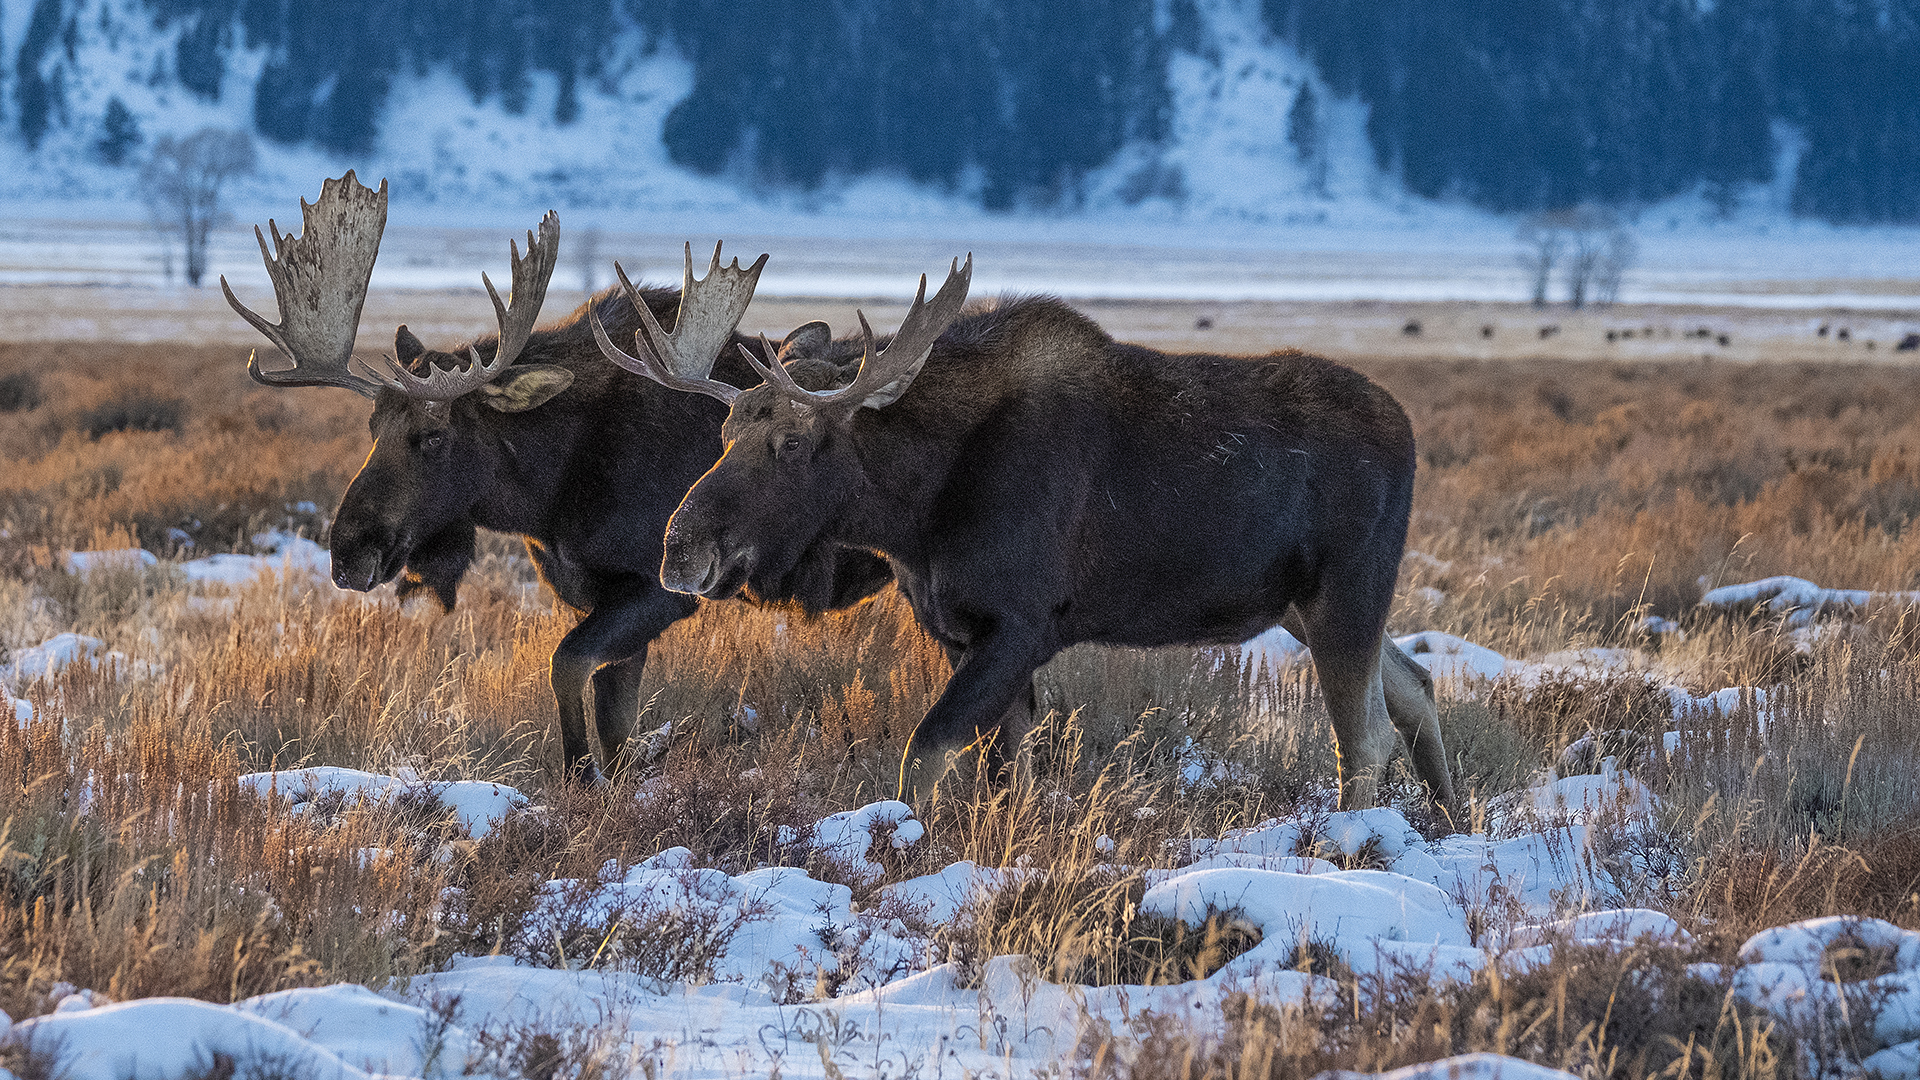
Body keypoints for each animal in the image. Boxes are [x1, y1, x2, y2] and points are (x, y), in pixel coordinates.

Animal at [219, 174, 890, 780]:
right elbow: (616, 724)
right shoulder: (602, 594)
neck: (550, 496)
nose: (348, 551)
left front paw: (578, 774)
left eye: (433, 436)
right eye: (372, 426)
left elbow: (565, 667)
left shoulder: (662, 585)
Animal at [599, 259, 1451, 814]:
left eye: (797, 443)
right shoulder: (958, 629)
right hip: (1303, 607)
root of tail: (1409, 434)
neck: (916, 513)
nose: (680, 548)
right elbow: (1002, 776)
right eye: (724, 432)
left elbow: (926, 754)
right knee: (1415, 686)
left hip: (1346, 591)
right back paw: (1449, 825)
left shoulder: (1023, 625)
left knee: (1366, 735)